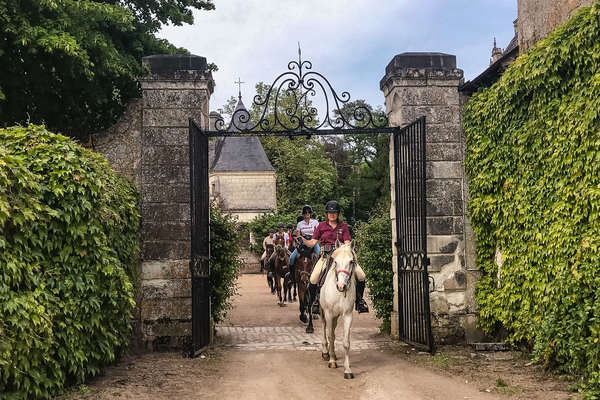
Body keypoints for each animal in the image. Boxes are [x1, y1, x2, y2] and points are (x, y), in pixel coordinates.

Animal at [318, 241, 356, 378]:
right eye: (335, 262)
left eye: (351, 261)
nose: (341, 286)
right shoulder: (328, 313)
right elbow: (330, 336)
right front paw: (332, 361)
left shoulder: (348, 314)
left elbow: (346, 343)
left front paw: (347, 370)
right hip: (323, 312)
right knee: (325, 328)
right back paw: (326, 352)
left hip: (336, 316)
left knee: (333, 330)